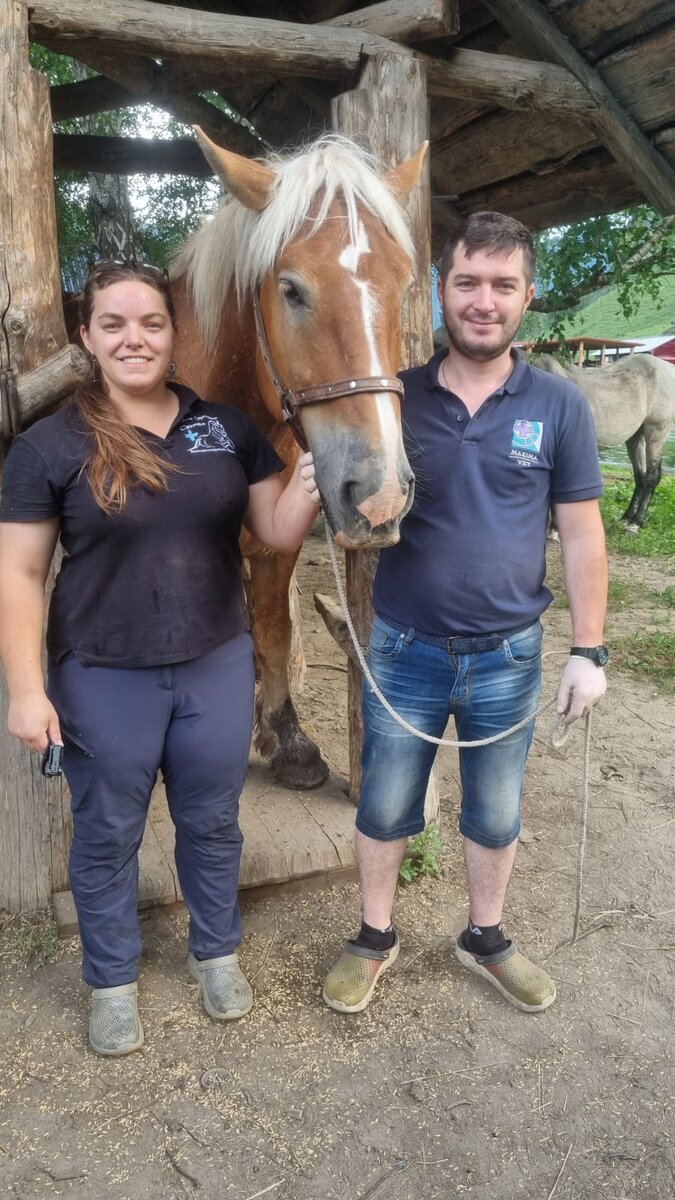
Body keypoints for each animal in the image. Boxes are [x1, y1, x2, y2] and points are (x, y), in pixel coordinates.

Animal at [170, 129, 422, 787]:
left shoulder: (274, 546)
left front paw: (284, 736)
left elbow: (272, 627)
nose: (381, 495)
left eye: (406, 284)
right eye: (290, 289)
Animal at [530, 350, 672, 530]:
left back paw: (637, 522)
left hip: (657, 430)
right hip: (636, 436)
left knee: (652, 477)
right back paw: (627, 518)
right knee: (640, 476)